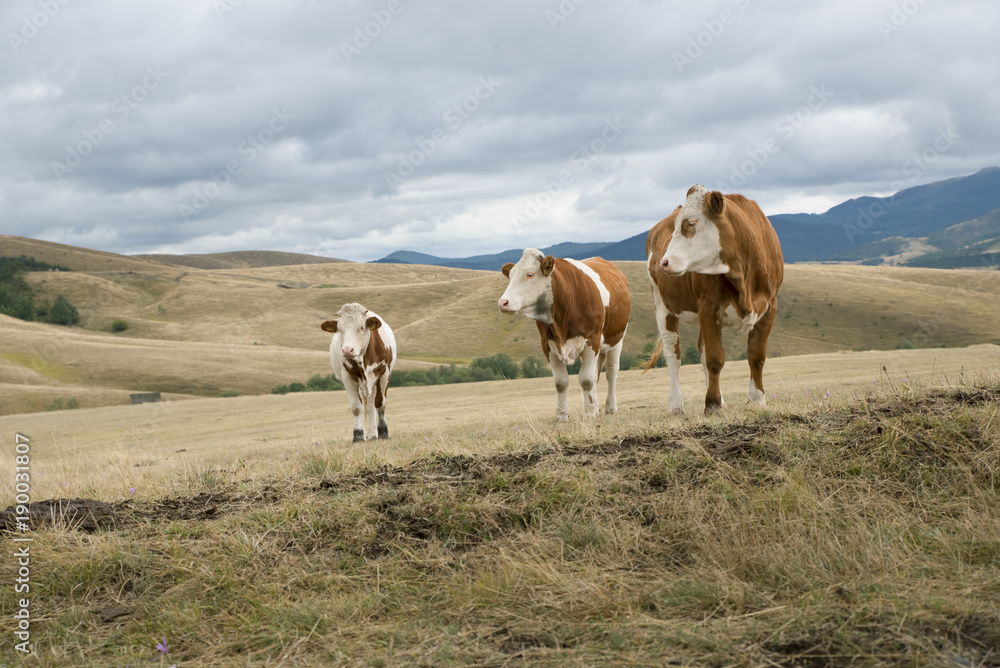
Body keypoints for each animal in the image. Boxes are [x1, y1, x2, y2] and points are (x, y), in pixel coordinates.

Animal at [320, 303, 397, 442]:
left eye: (362, 327)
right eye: (339, 329)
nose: (347, 350)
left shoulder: (384, 373)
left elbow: (380, 404)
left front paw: (383, 432)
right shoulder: (348, 377)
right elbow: (357, 407)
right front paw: (358, 435)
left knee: (372, 406)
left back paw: (373, 434)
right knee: (368, 406)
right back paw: (370, 434)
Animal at [499, 249, 630, 422]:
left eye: (530, 274)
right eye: (511, 275)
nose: (503, 303)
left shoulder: (592, 340)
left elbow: (586, 380)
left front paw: (589, 414)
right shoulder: (547, 344)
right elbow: (561, 382)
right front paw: (561, 415)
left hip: (617, 338)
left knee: (611, 372)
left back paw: (610, 407)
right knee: (595, 374)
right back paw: (595, 406)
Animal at [645, 185, 783, 415]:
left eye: (691, 223)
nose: (665, 262)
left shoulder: (769, 308)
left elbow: (756, 357)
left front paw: (757, 399)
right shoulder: (708, 307)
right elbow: (715, 359)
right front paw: (711, 404)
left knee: (701, 350)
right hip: (662, 305)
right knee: (673, 354)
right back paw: (676, 405)